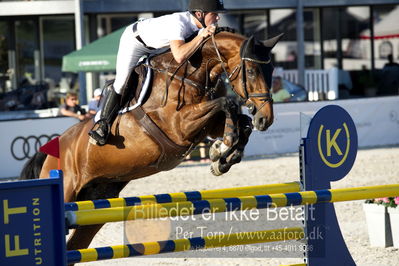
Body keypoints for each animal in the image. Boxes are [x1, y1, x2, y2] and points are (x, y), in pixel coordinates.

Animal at [20, 29, 282, 254]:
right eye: (252, 72)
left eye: (271, 72)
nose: (266, 118)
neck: (189, 76)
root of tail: (51, 150)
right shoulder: (179, 125)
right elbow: (228, 104)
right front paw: (223, 147)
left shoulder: (205, 124)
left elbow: (240, 121)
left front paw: (223, 156)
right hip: (68, 190)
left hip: (95, 207)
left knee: (75, 245)